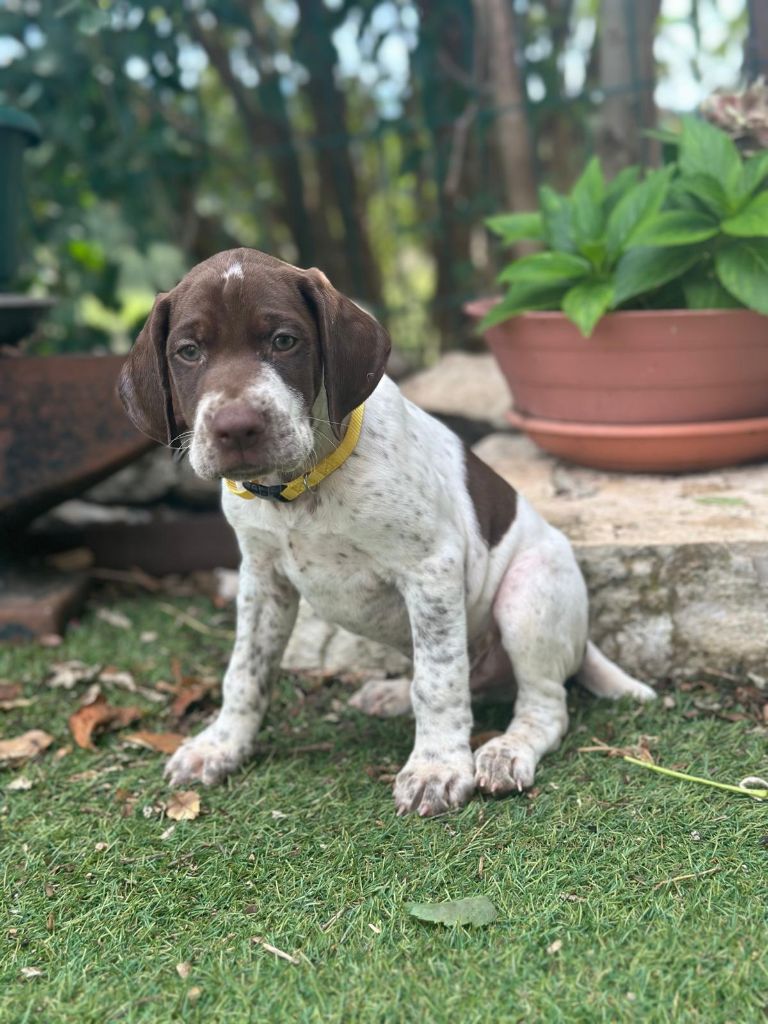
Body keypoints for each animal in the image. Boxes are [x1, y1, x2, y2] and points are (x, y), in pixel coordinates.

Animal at [120, 247, 655, 815]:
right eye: (189, 351)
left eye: (284, 341)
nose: (237, 428)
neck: (301, 488)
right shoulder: (263, 580)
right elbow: (245, 671)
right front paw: (220, 746)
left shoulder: (431, 569)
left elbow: (439, 682)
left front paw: (437, 767)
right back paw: (394, 694)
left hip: (528, 593)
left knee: (543, 705)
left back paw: (505, 752)